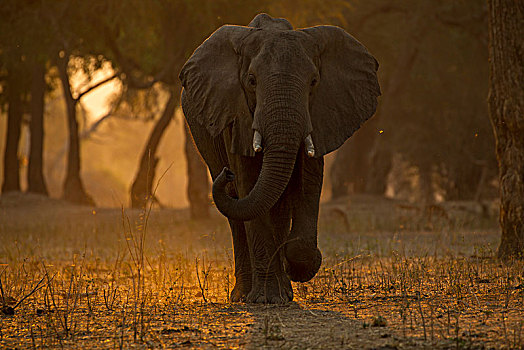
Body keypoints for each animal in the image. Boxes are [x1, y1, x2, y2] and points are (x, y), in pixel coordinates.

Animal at [178, 13, 378, 304]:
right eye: (251, 81)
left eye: (314, 82)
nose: (226, 174)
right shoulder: (236, 117)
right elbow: (249, 183)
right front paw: (267, 299)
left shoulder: (320, 115)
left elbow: (308, 184)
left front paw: (298, 266)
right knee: (237, 212)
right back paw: (243, 295)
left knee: (278, 206)